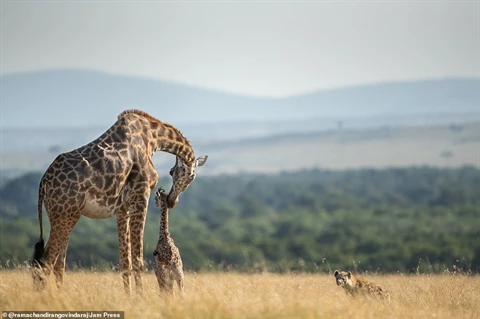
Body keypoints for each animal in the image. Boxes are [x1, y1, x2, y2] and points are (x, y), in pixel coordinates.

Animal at [31, 110, 208, 296]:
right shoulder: (141, 195)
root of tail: (43, 182)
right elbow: (137, 259)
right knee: (46, 261)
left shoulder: (123, 208)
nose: (172, 200)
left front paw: (129, 296)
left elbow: (125, 262)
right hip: (65, 214)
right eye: (174, 172)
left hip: (65, 215)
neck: (153, 137)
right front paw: (140, 295)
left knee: (57, 262)